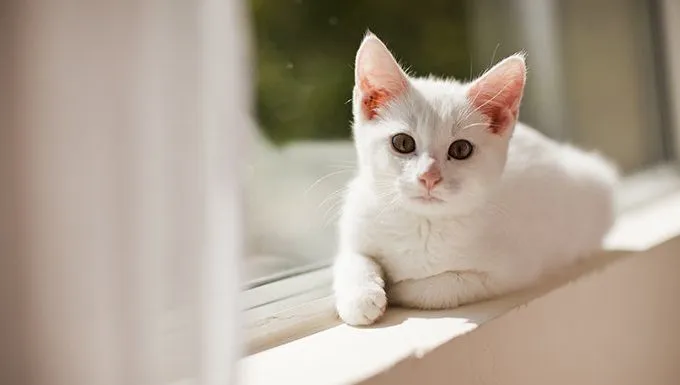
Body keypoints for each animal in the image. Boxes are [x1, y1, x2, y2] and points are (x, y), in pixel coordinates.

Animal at [332, 34, 620, 326]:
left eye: (461, 149)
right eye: (402, 143)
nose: (429, 177)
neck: (423, 223)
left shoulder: (512, 270)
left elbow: (440, 286)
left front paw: (398, 288)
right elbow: (351, 259)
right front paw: (360, 295)